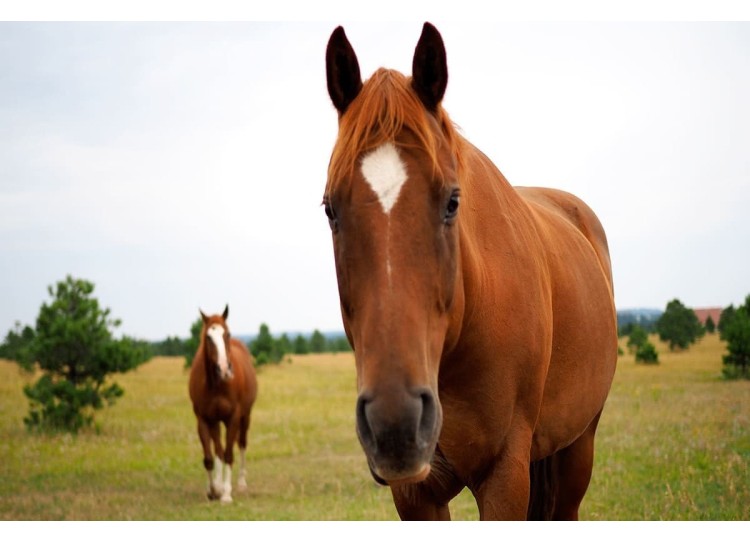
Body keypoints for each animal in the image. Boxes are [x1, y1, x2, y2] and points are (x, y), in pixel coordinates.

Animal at [188, 306, 258, 506]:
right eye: (208, 337)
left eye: (227, 333)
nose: (224, 369)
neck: (217, 384)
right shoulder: (203, 420)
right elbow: (210, 457)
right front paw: (214, 490)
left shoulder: (233, 418)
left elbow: (228, 454)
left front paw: (226, 494)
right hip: (215, 421)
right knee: (218, 449)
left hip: (245, 417)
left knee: (241, 444)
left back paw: (241, 483)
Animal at [324, 24, 616, 524]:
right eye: (330, 209)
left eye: (452, 202)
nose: (395, 423)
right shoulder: (417, 496)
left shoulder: (505, 477)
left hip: (578, 448)